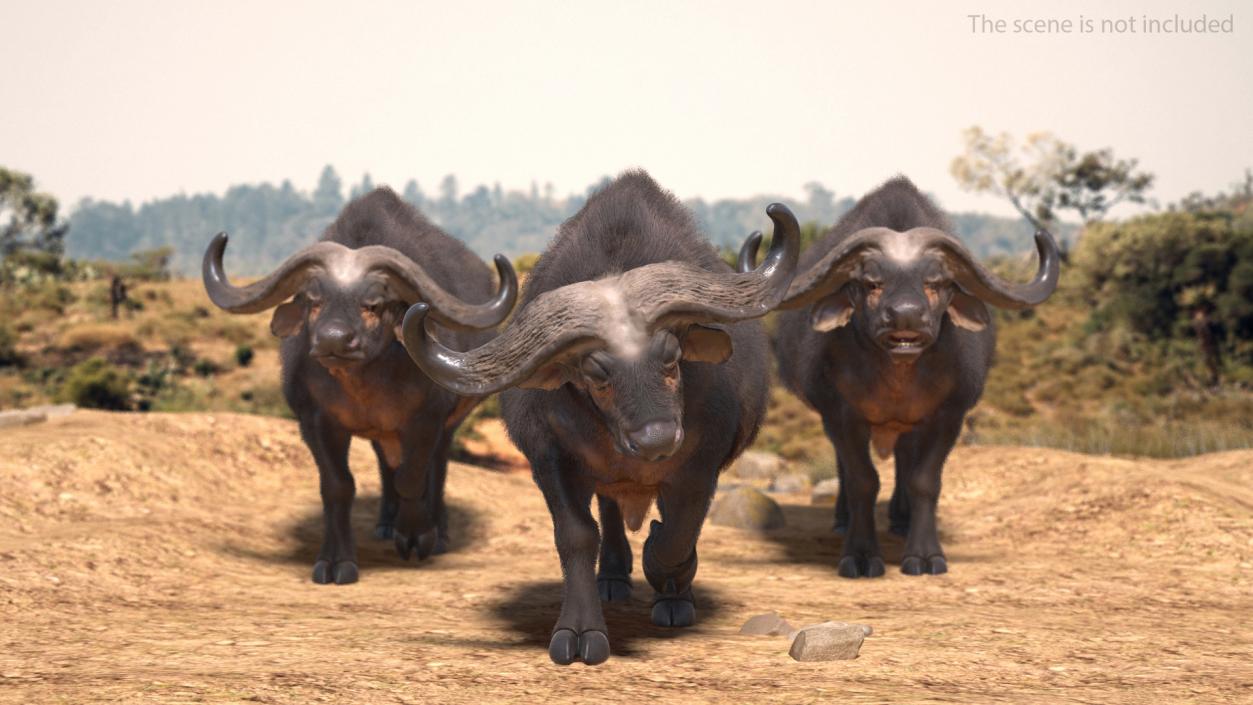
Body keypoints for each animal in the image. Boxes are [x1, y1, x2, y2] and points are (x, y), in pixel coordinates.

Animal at [202, 187, 516, 586]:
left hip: (447, 425)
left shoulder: (426, 420)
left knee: (437, 465)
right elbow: (338, 487)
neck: (364, 386)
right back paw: (385, 523)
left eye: (373, 304)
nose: (333, 340)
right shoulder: (315, 422)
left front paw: (416, 536)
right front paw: (335, 561)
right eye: (313, 300)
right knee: (386, 463)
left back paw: (438, 531)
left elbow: (413, 478)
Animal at [400, 172, 796, 666]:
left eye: (671, 356)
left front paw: (666, 577)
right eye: (595, 373)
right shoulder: (549, 459)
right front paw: (579, 629)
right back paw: (612, 578)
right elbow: (577, 536)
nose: (657, 439)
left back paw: (672, 596)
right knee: (609, 515)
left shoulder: (702, 463)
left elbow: (678, 533)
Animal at [751, 176, 1057, 578]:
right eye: (871, 283)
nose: (906, 316)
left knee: (903, 461)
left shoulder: (949, 416)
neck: (897, 378)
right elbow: (862, 480)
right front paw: (861, 554)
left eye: (936, 282)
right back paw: (844, 519)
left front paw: (925, 554)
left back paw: (901, 518)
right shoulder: (840, 414)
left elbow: (924, 480)